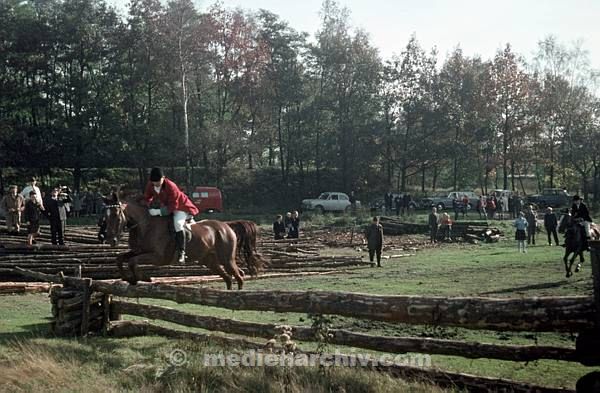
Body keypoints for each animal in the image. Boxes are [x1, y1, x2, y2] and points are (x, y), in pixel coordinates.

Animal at [105, 198, 248, 290]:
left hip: (226, 259)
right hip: (209, 261)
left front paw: (143, 278)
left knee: (239, 275)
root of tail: (226, 226)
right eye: (105, 217)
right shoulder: (138, 251)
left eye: (116, 216)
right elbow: (120, 258)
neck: (145, 226)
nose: (111, 240)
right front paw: (130, 278)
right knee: (228, 278)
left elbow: (132, 261)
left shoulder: (158, 257)